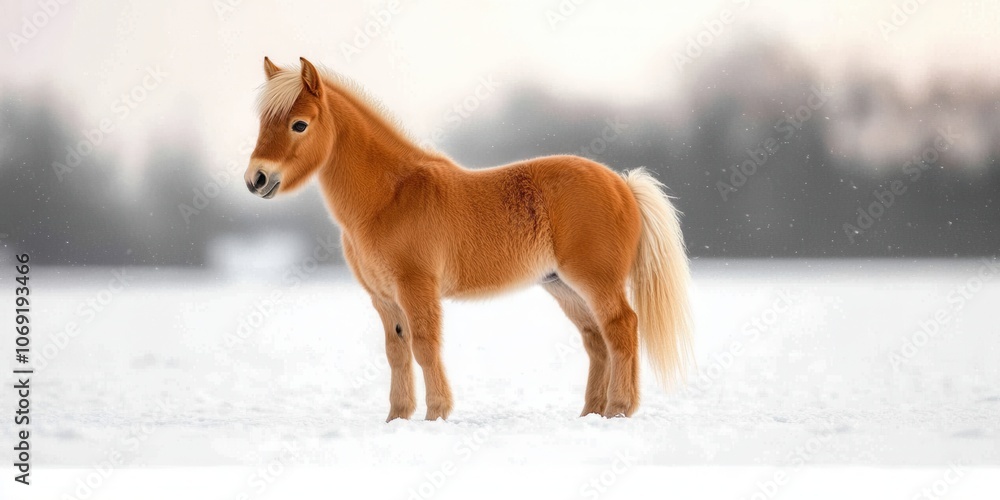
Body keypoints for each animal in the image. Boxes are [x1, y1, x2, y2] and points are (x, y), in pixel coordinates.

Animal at [244, 57, 693, 421]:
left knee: (621, 328)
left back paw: (619, 409)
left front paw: (436, 414)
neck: (389, 197)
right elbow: (396, 353)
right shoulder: (384, 298)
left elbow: (425, 346)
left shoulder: (417, 287)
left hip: (595, 282)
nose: (256, 179)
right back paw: (591, 413)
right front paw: (397, 417)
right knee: (596, 340)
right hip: (563, 287)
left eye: (299, 124)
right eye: (263, 122)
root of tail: (622, 184)